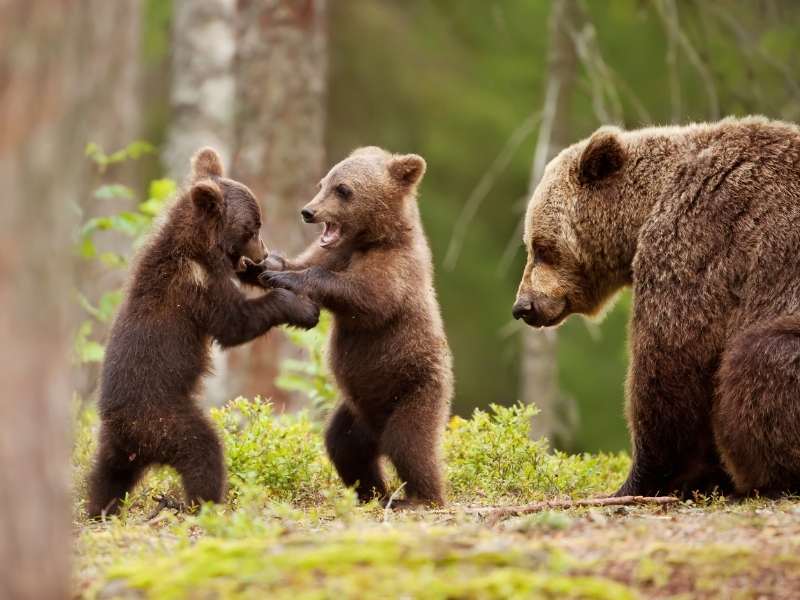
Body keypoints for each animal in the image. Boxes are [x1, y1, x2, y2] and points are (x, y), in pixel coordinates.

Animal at [512, 117, 800, 496]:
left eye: (541, 247)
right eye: (531, 244)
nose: (523, 306)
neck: (645, 210)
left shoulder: (699, 239)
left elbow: (670, 360)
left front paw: (640, 480)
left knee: (760, 358)